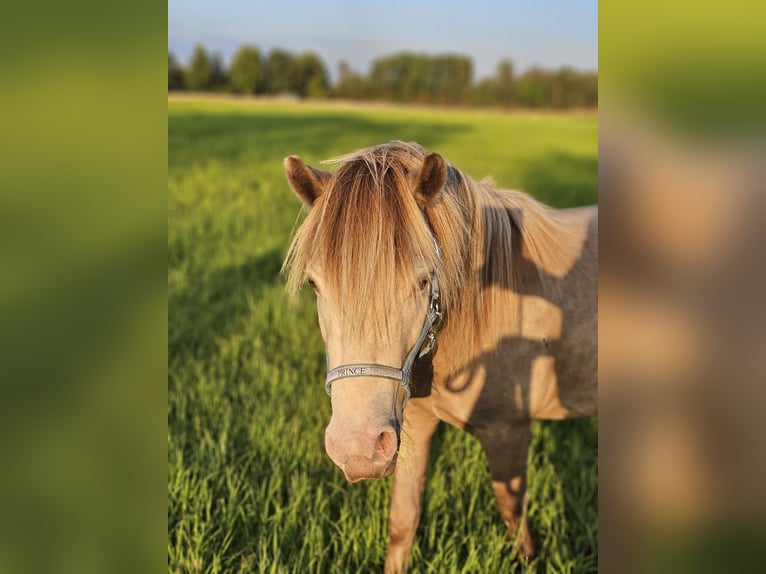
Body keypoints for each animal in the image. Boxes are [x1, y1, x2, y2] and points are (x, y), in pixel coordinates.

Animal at [282, 142, 600, 572]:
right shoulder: (412, 423)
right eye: (315, 284)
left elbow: (513, 515)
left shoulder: (509, 431)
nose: (357, 450)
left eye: (423, 280)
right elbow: (403, 519)